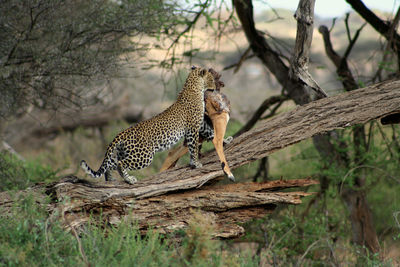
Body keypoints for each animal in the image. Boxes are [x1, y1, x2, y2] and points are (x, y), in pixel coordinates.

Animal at [80, 66, 216, 185]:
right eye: (212, 79)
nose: (215, 88)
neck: (195, 88)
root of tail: (122, 133)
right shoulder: (193, 128)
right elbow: (193, 147)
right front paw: (196, 163)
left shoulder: (200, 124)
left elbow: (210, 132)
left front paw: (219, 140)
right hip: (143, 155)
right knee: (121, 164)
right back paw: (129, 180)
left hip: (124, 152)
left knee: (110, 165)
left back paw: (111, 180)